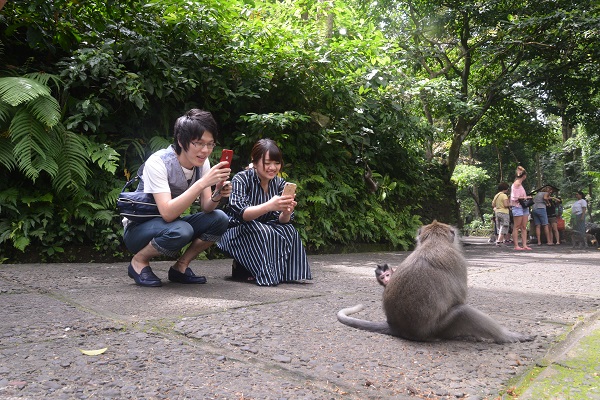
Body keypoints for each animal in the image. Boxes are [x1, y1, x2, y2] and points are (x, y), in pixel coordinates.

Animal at [338, 219, 536, 344]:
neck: (434, 242)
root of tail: (397, 327)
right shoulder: (459, 263)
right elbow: (460, 299)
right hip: (441, 328)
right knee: (463, 312)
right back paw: (505, 337)